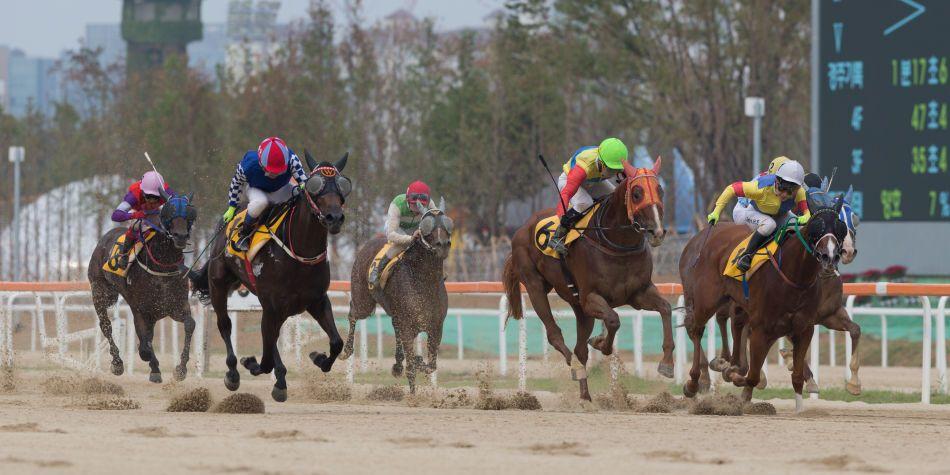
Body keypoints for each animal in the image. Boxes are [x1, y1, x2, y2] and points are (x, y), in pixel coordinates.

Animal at [90, 193, 200, 384]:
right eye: (169, 213)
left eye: (189, 213)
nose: (180, 236)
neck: (162, 267)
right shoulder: (140, 310)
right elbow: (144, 346)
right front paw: (151, 364)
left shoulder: (175, 307)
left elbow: (189, 324)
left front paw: (181, 369)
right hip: (101, 292)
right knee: (106, 325)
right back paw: (117, 363)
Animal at [189, 152, 350, 402]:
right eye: (315, 186)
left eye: (342, 185)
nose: (334, 217)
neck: (300, 253)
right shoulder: (273, 304)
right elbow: (264, 360)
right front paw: (250, 363)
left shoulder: (316, 300)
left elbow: (336, 342)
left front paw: (318, 357)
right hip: (219, 285)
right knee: (225, 325)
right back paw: (233, 372)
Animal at [344, 206, 456, 392]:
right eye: (427, 227)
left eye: (447, 224)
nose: (443, 244)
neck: (423, 281)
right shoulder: (407, 326)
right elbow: (411, 368)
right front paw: (412, 394)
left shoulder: (436, 327)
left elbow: (431, 365)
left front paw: (416, 361)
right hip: (364, 302)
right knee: (353, 312)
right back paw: (346, 350)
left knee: (394, 329)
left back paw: (397, 364)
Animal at [502, 160, 672, 402]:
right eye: (637, 193)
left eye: (660, 190)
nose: (656, 231)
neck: (615, 242)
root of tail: (522, 228)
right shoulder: (591, 297)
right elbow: (614, 320)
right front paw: (600, 343)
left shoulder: (638, 293)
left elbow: (665, 308)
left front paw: (667, 363)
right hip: (535, 285)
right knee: (555, 335)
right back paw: (575, 367)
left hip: (578, 305)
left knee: (580, 348)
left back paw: (585, 396)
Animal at [676, 197, 848, 412]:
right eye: (817, 226)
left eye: (841, 228)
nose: (830, 256)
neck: (794, 276)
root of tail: (699, 238)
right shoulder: (761, 328)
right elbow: (753, 375)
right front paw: (737, 384)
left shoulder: (803, 329)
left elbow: (796, 375)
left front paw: (799, 407)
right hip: (705, 299)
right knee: (696, 329)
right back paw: (694, 383)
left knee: (730, 325)